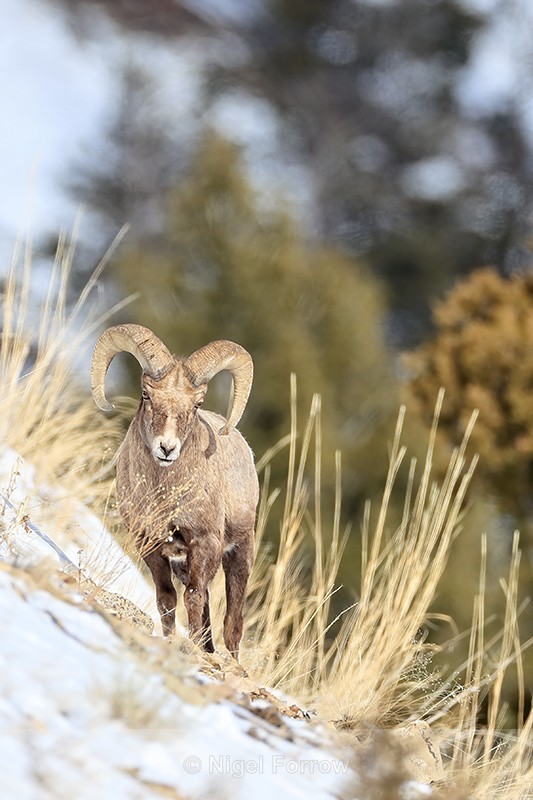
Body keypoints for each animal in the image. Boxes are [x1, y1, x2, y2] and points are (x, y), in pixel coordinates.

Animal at [91, 324, 259, 658]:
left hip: (239, 553)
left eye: (197, 405)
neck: (164, 494)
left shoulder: (204, 543)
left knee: (232, 621)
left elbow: (193, 597)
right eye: (146, 394)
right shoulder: (150, 543)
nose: (166, 448)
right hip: (185, 563)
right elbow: (166, 598)